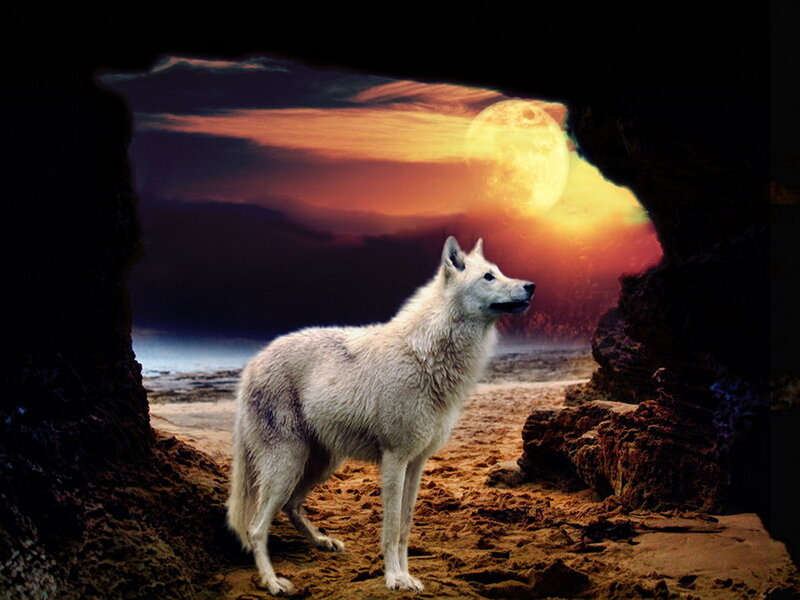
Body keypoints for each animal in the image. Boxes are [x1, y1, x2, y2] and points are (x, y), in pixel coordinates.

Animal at [227, 236, 535, 595]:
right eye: (488, 277)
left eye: (500, 271)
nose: (531, 286)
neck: (428, 356)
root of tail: (253, 363)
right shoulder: (395, 461)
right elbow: (389, 529)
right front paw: (394, 578)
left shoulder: (417, 464)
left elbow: (404, 528)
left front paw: (406, 575)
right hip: (288, 465)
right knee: (256, 527)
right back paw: (273, 582)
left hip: (320, 465)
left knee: (291, 506)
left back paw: (323, 542)